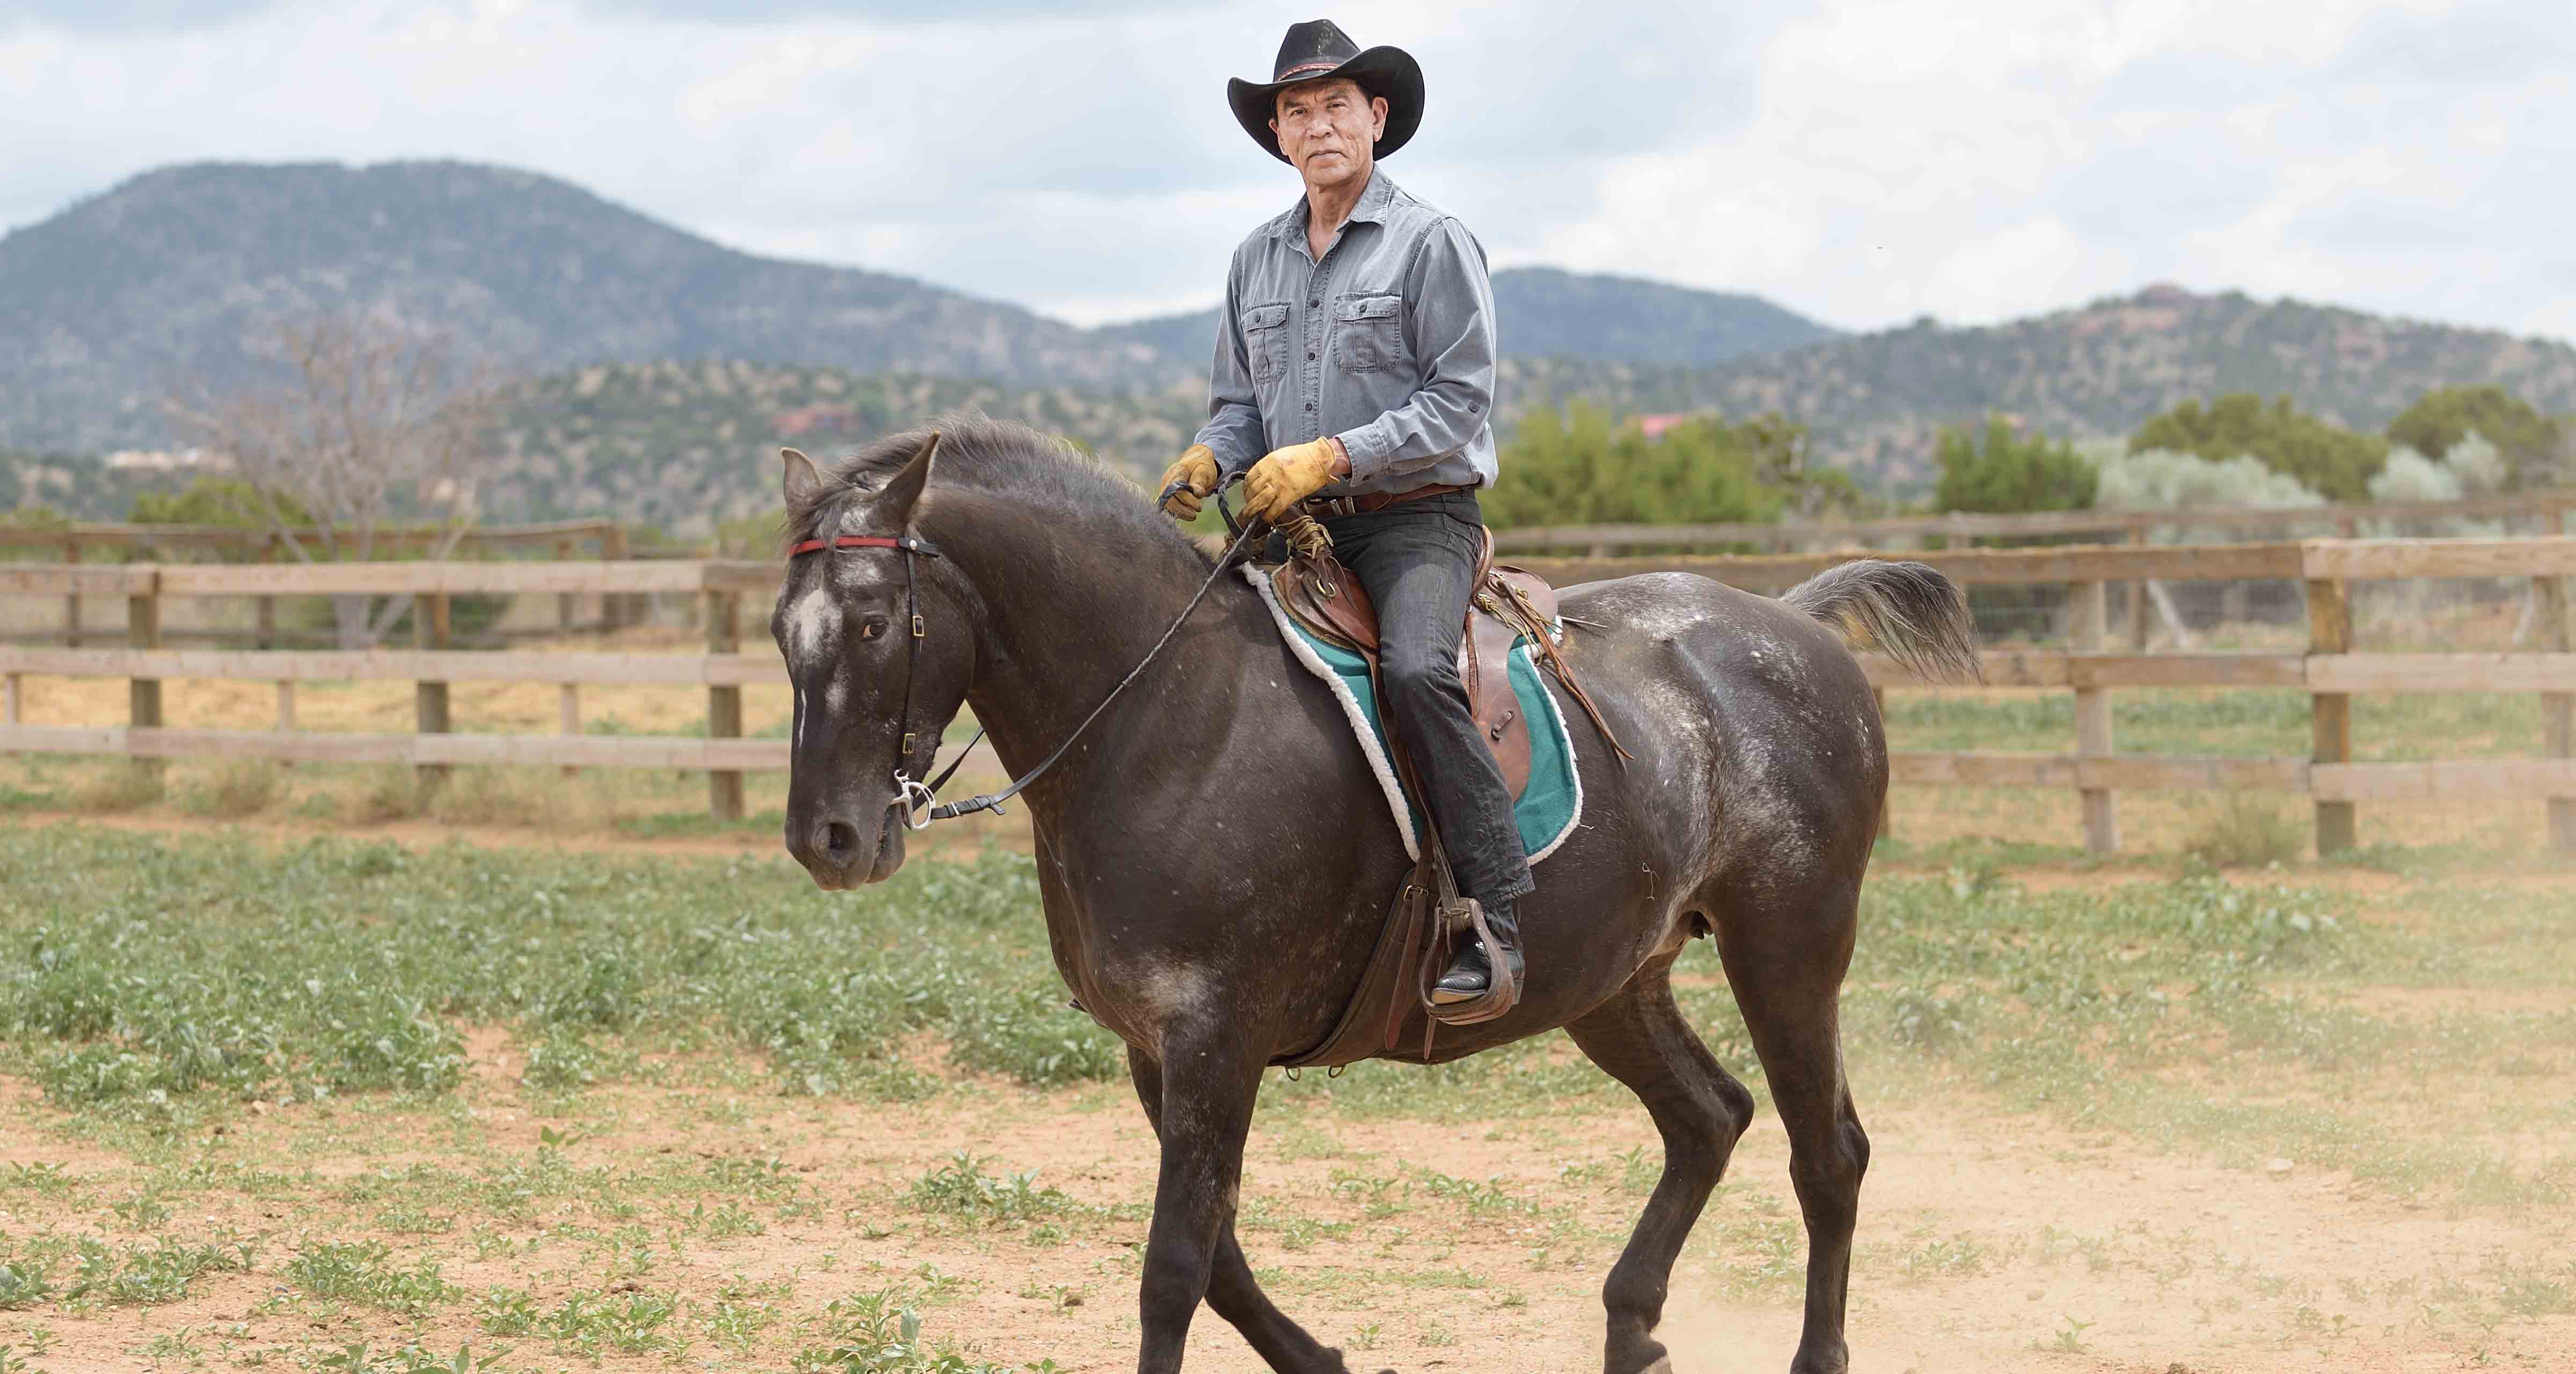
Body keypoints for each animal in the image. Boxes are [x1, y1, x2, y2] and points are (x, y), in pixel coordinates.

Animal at [769, 419, 1980, 1374]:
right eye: (784, 633)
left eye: (871, 621)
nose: (829, 839)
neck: (1167, 716)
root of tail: (1796, 622)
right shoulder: (1160, 1051)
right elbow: (1219, 1258)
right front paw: (1322, 1359)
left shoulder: (1217, 1037)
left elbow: (1174, 1266)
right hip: (1614, 980)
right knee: (1709, 1116)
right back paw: (1632, 1327)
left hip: (1788, 947)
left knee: (1827, 1153)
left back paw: (1810, 1351)